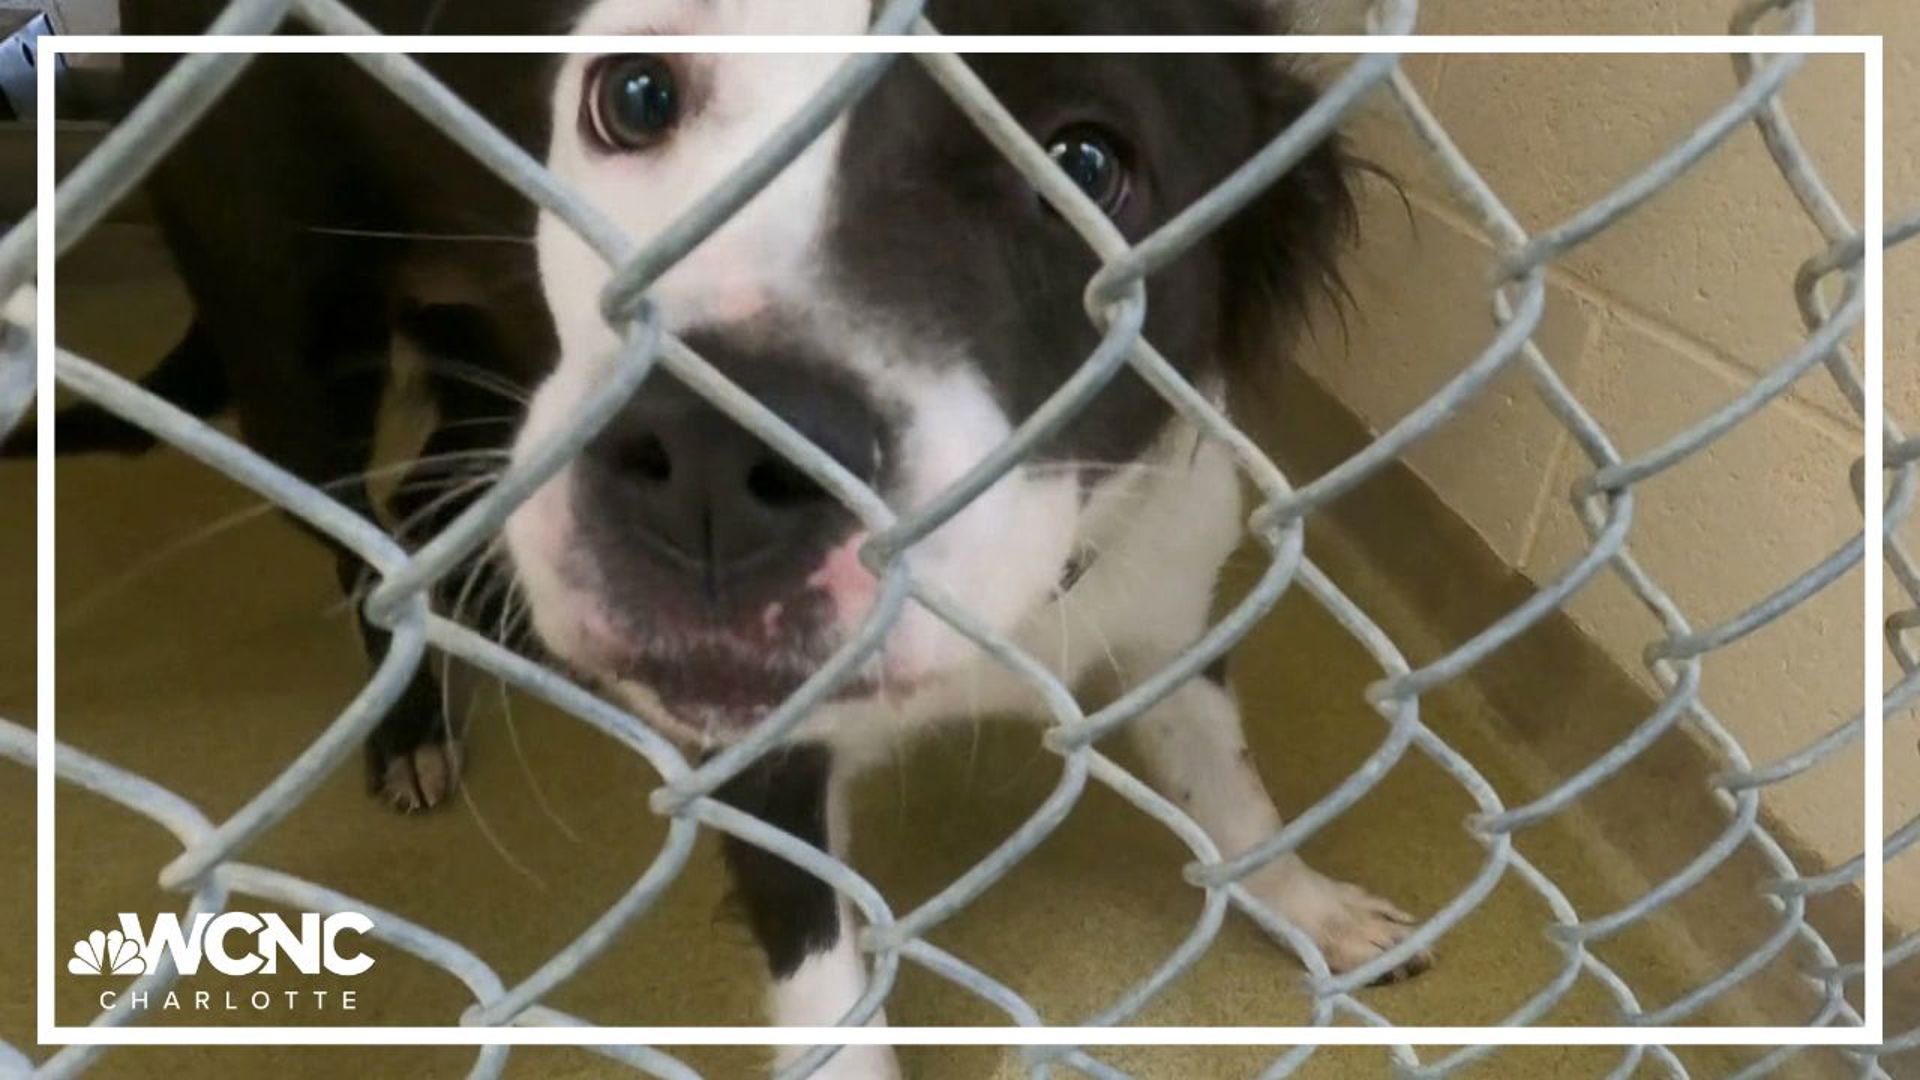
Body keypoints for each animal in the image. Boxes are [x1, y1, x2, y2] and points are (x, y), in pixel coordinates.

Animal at [48, 0, 1428, 1060]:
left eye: (1086, 165)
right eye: (635, 95)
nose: (710, 464)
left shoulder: (1166, 604)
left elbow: (1233, 793)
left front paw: (1308, 905)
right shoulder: (760, 769)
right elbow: (835, 1005)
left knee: (430, 494)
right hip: (296, 351)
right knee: (359, 539)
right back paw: (410, 728)